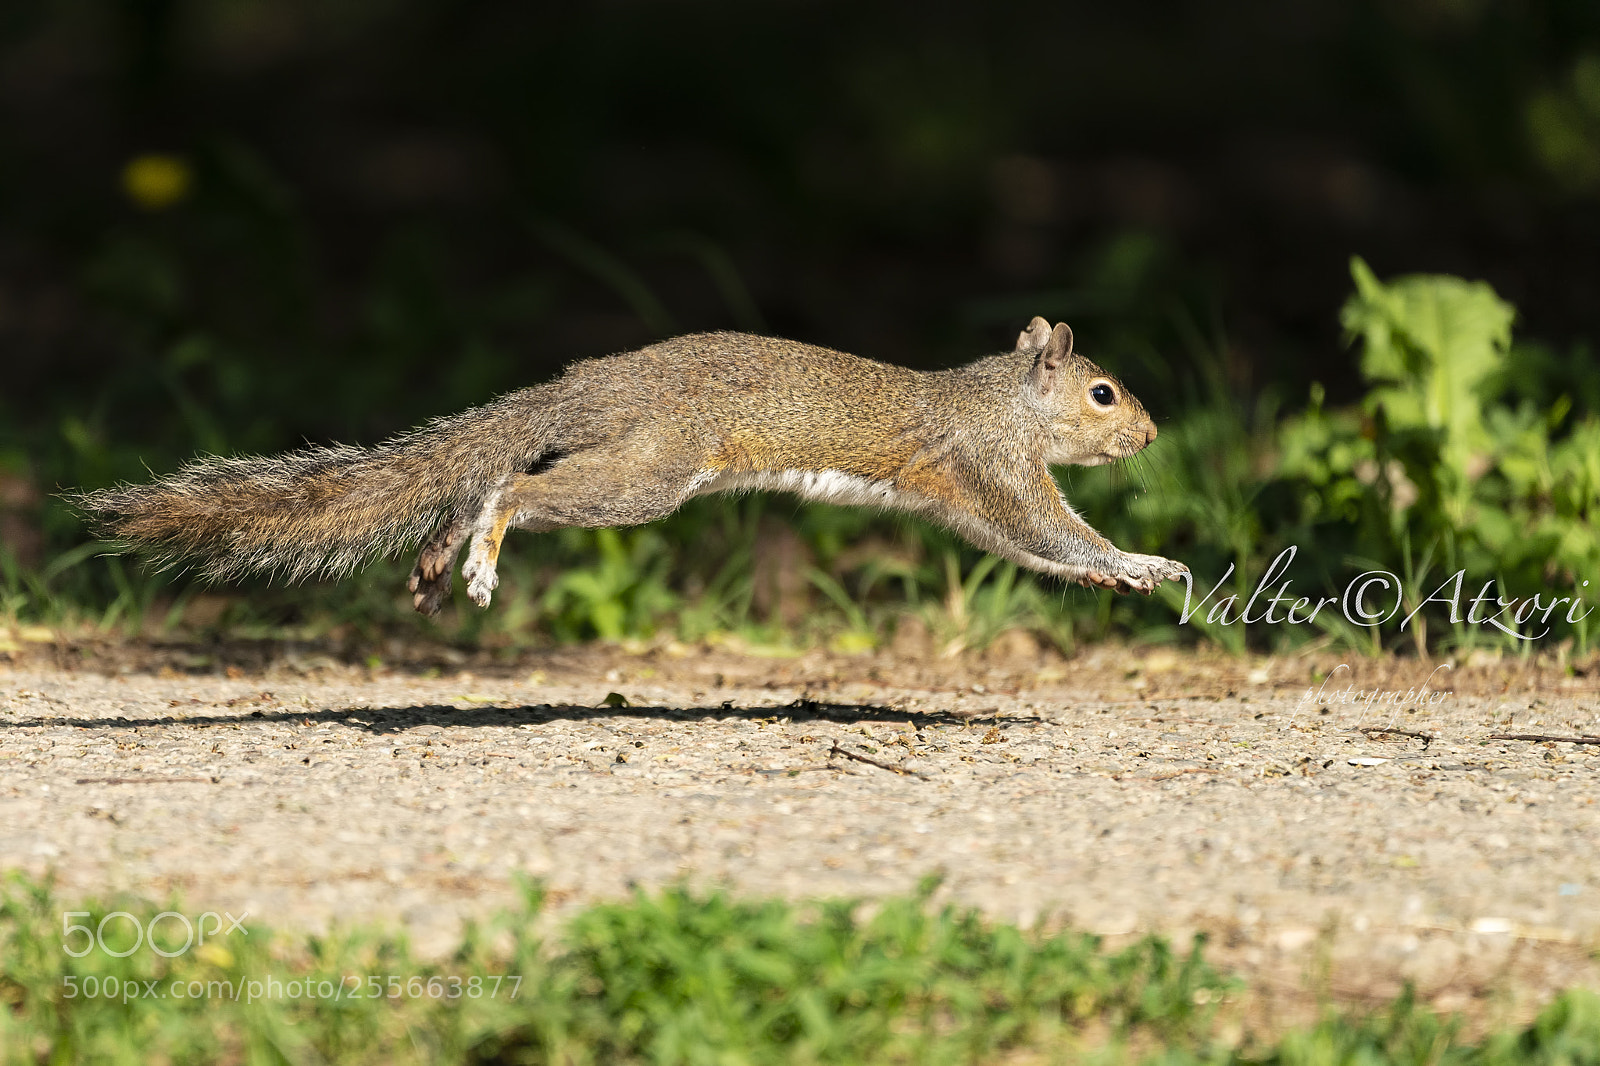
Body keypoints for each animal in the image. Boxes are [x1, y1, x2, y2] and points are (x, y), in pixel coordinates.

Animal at [76, 318, 1188, 616]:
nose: (1151, 438)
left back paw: (440, 556)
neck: (1001, 396)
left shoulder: (971, 499)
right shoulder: (997, 468)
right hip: (646, 472)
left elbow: (1033, 550)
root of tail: (585, 384)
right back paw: (479, 557)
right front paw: (1145, 563)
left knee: (486, 483)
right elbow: (1053, 532)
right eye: (1103, 394)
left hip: (619, 457)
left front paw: (1126, 574)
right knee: (516, 488)